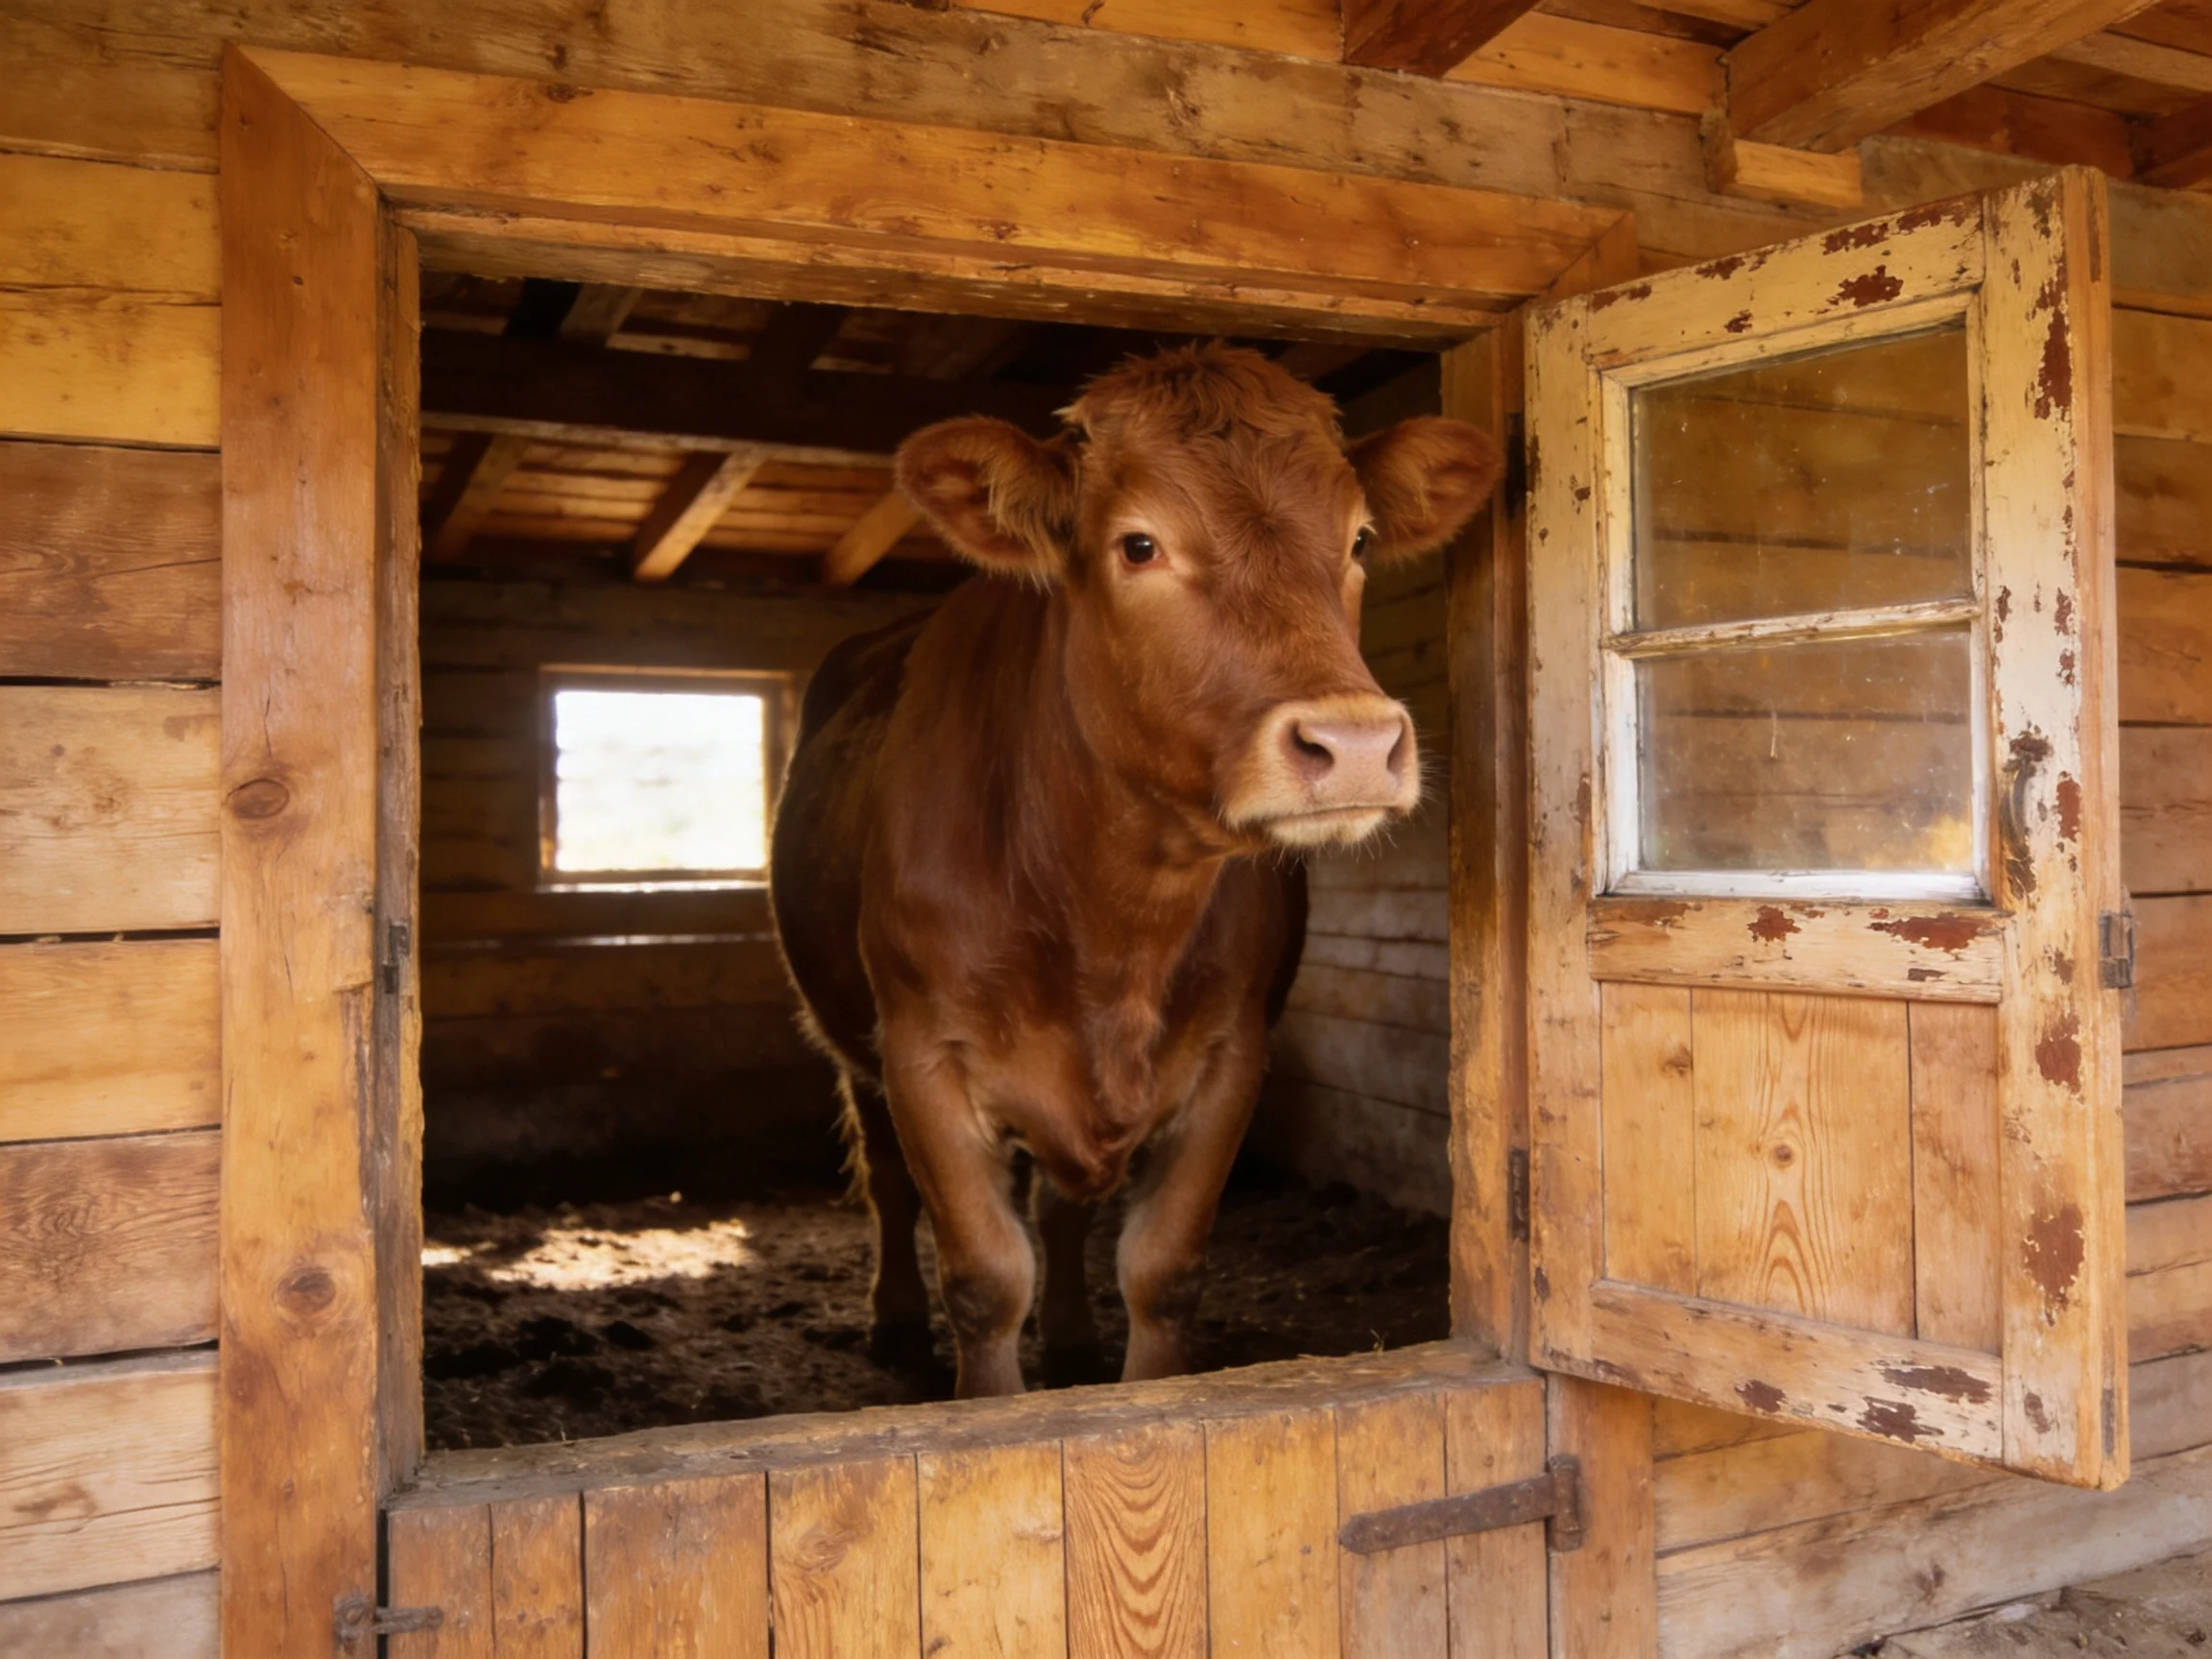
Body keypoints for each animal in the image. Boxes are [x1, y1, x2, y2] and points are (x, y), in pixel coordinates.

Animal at [769, 344, 1502, 1398]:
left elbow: (1161, 1269)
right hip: (850, 1040)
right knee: (889, 1181)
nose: (1357, 743)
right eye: (1139, 545)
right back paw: (897, 1327)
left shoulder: (1232, 1054)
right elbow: (985, 1278)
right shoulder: (919, 1051)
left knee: (1063, 1209)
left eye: (1359, 537)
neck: (1111, 916)